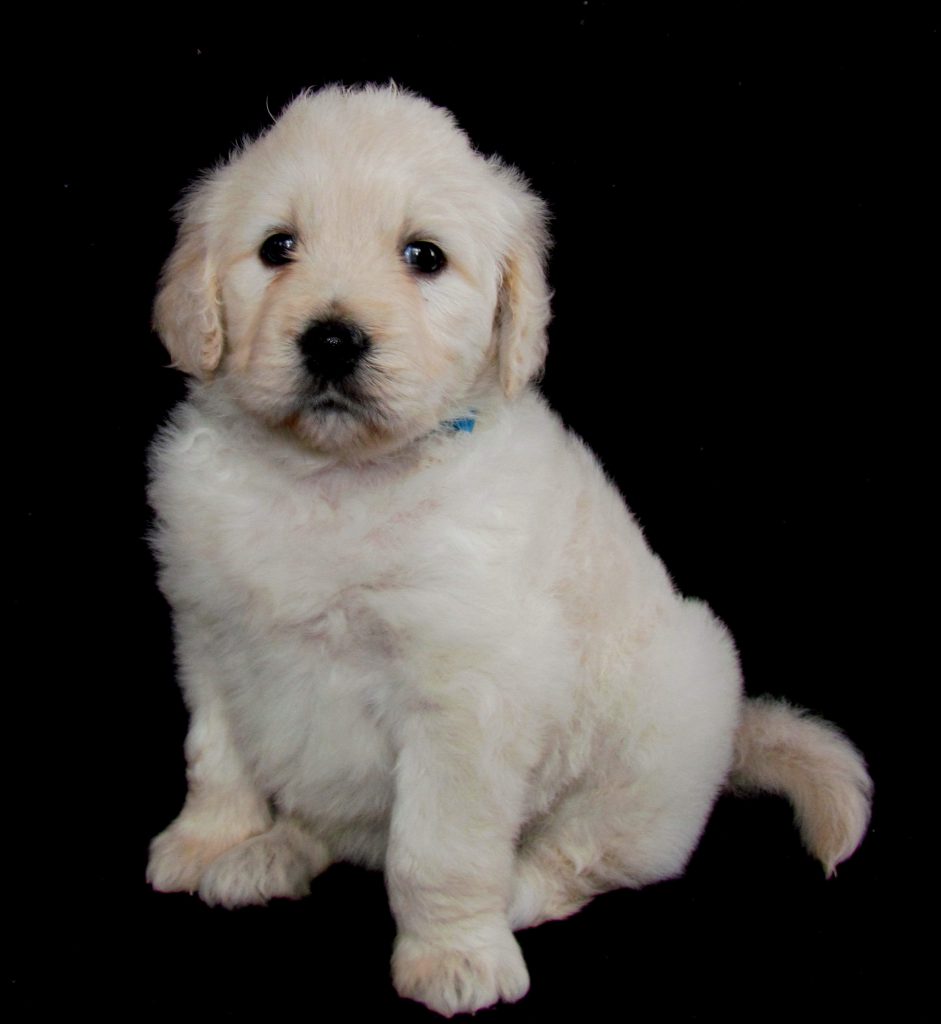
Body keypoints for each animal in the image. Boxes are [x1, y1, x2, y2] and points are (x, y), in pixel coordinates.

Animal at [146, 84, 872, 1017]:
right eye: (277, 247)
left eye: (423, 256)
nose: (333, 339)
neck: (330, 479)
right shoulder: (208, 633)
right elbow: (217, 757)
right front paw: (207, 841)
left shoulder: (464, 693)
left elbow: (438, 847)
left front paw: (453, 954)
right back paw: (270, 854)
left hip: (663, 717)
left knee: (591, 854)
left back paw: (518, 892)